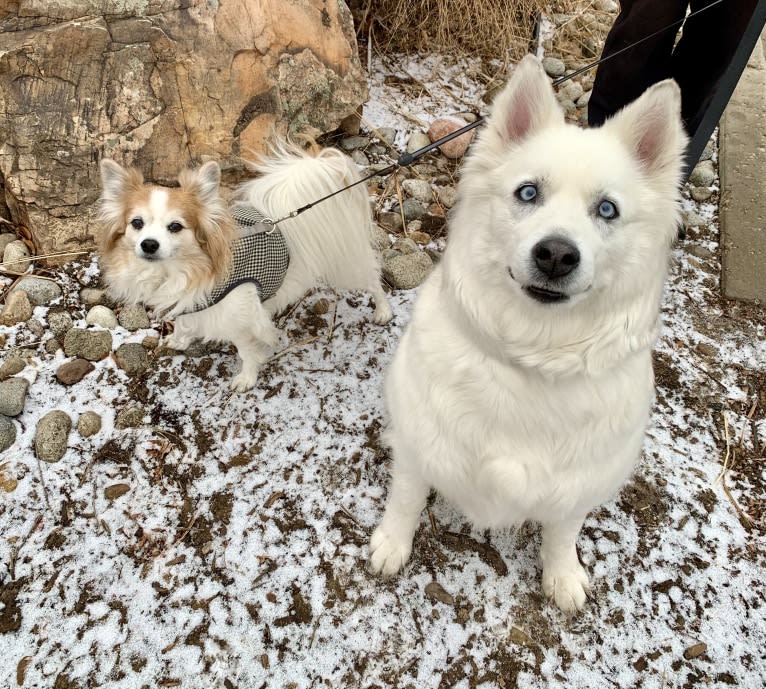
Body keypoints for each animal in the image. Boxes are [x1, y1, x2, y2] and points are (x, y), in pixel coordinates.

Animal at [98, 142, 392, 390]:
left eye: (175, 227)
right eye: (137, 223)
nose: (149, 244)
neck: (180, 270)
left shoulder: (240, 318)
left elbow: (247, 350)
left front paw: (247, 378)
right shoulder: (190, 301)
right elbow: (184, 322)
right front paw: (179, 340)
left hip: (346, 264)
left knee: (372, 279)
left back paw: (383, 310)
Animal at [368, 55, 688, 612]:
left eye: (607, 209)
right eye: (529, 192)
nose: (556, 254)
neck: (533, 355)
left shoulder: (579, 482)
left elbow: (563, 531)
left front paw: (562, 575)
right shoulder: (420, 444)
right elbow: (406, 497)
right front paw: (392, 543)